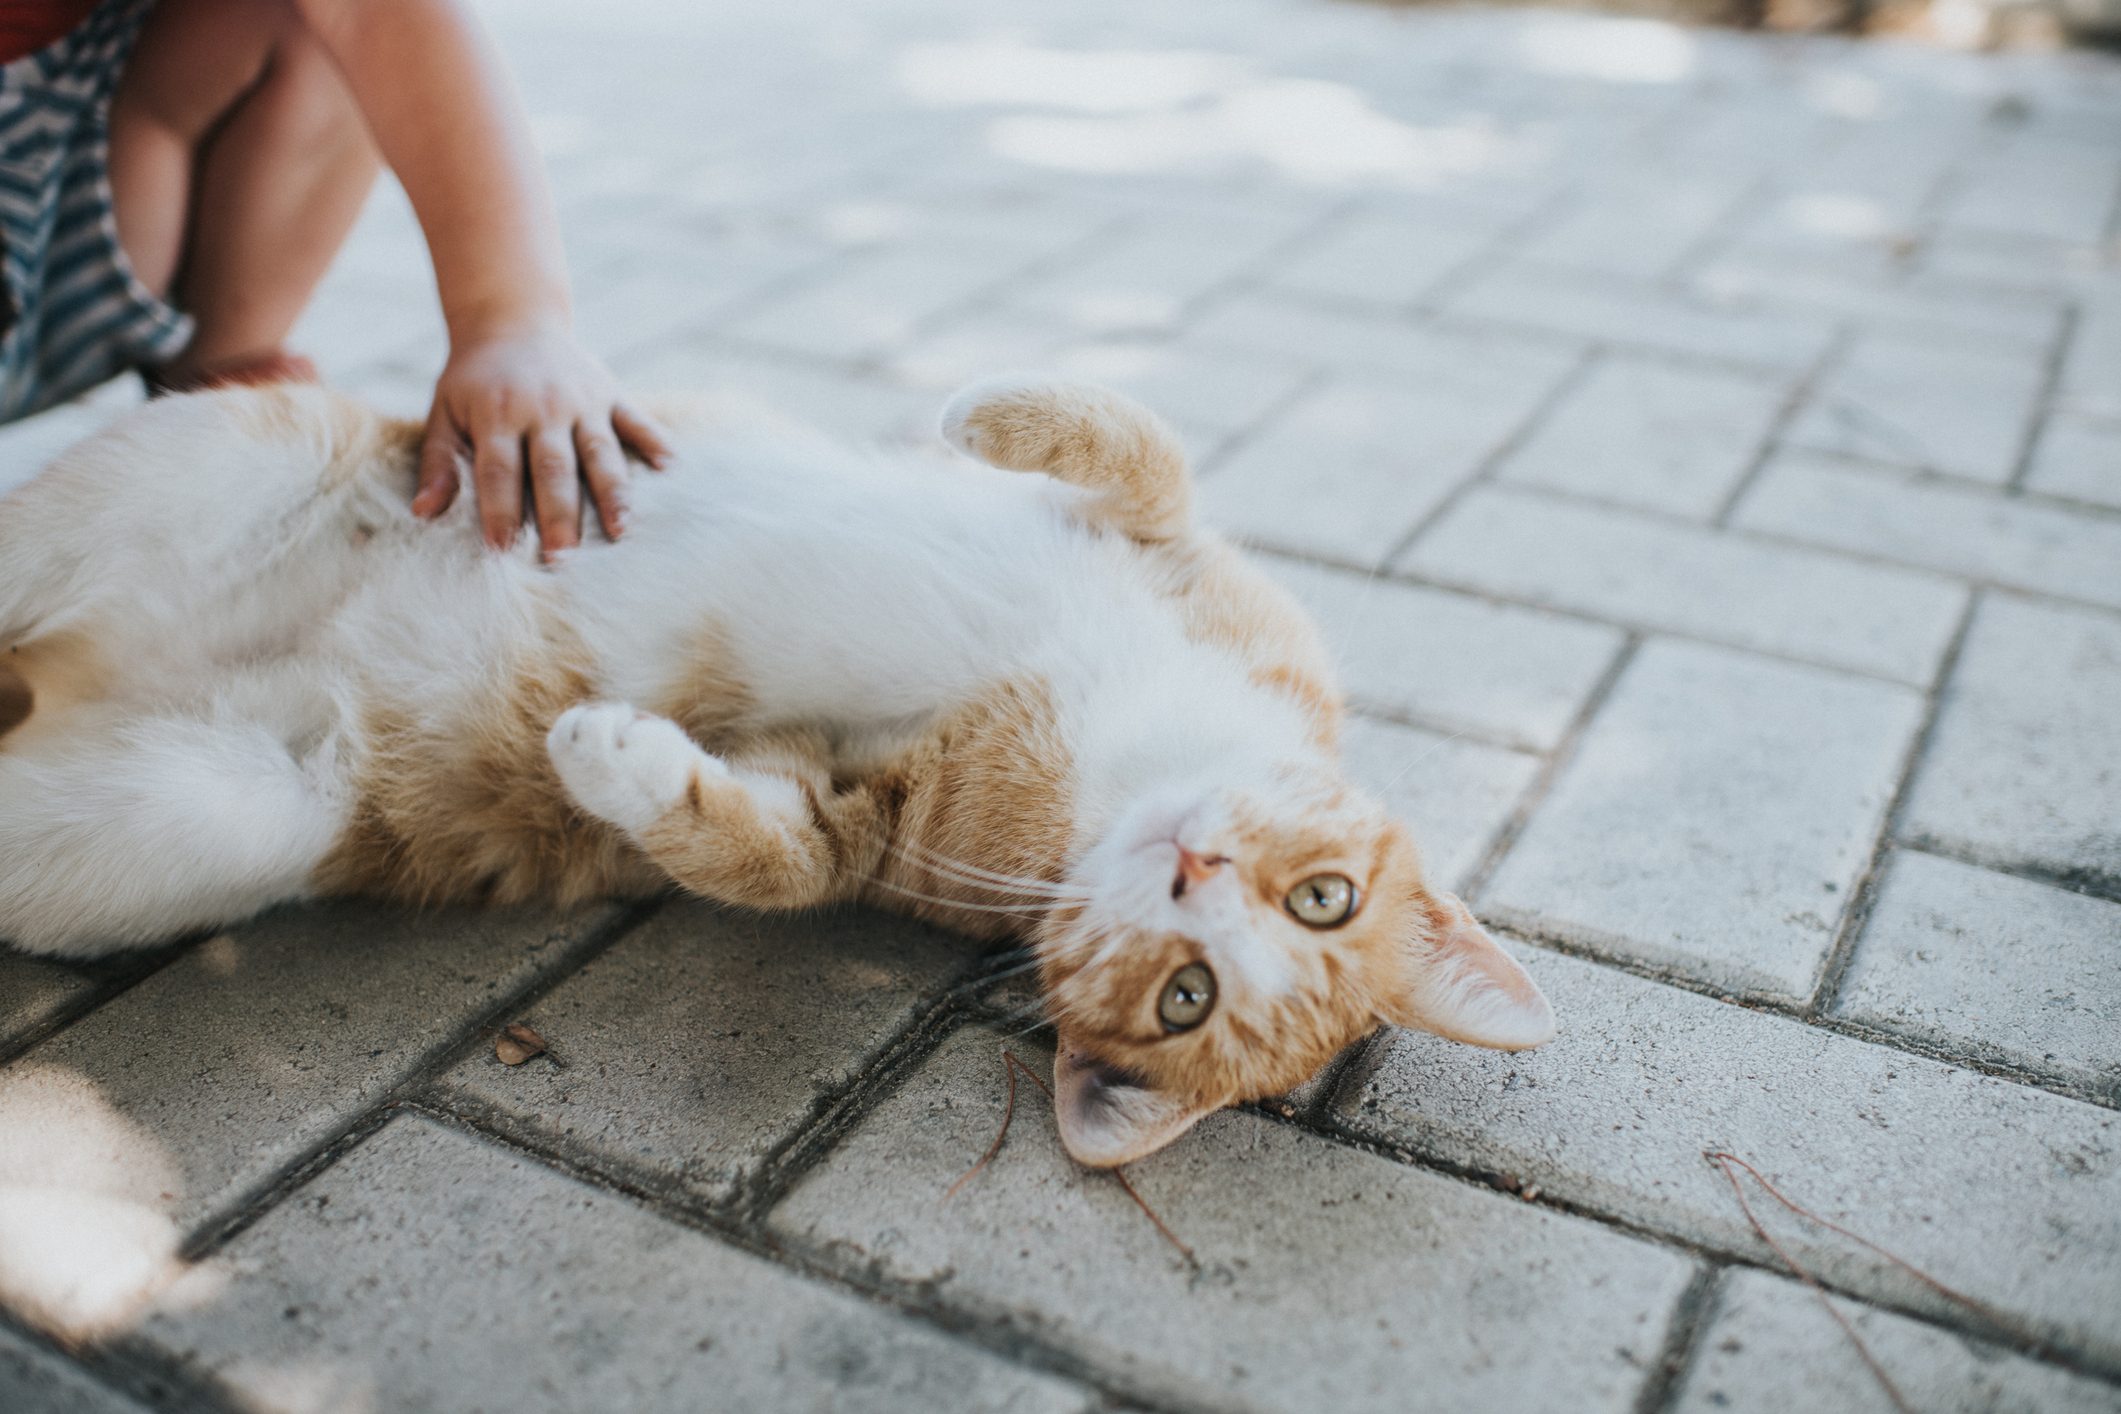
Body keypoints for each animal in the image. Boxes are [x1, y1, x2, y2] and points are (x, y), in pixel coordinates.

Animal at [0, 373, 1561, 1161]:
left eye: (1189, 998)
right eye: (1323, 900)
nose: (1193, 865)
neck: (1113, 766)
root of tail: (89, 657)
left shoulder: (847, 810)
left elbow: (761, 848)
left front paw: (616, 760)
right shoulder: (1187, 555)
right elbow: (1133, 445)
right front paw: (982, 412)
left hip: (206, 817)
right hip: (225, 466)